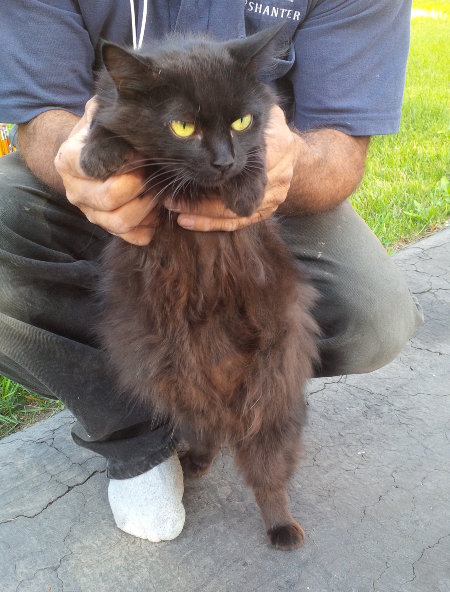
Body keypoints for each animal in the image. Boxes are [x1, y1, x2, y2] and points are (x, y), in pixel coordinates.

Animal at [81, 23, 320, 552]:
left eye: (242, 121)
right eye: (184, 128)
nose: (224, 161)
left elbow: (263, 153)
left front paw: (248, 189)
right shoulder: (110, 106)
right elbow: (106, 121)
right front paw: (95, 153)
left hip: (271, 395)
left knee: (268, 476)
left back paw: (282, 528)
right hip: (173, 379)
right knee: (207, 431)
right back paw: (193, 465)